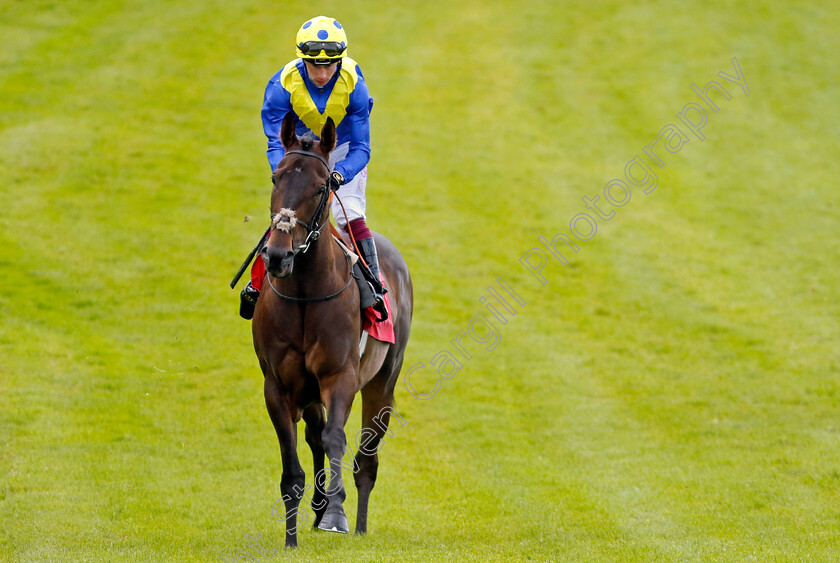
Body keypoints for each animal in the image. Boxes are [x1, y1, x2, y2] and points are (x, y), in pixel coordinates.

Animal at [253, 112, 414, 548]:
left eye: (321, 185)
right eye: (275, 177)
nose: (278, 255)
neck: (306, 294)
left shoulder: (340, 375)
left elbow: (335, 438)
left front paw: (336, 515)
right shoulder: (278, 385)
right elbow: (293, 464)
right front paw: (291, 539)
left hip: (383, 382)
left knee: (366, 460)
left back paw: (357, 524)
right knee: (315, 433)